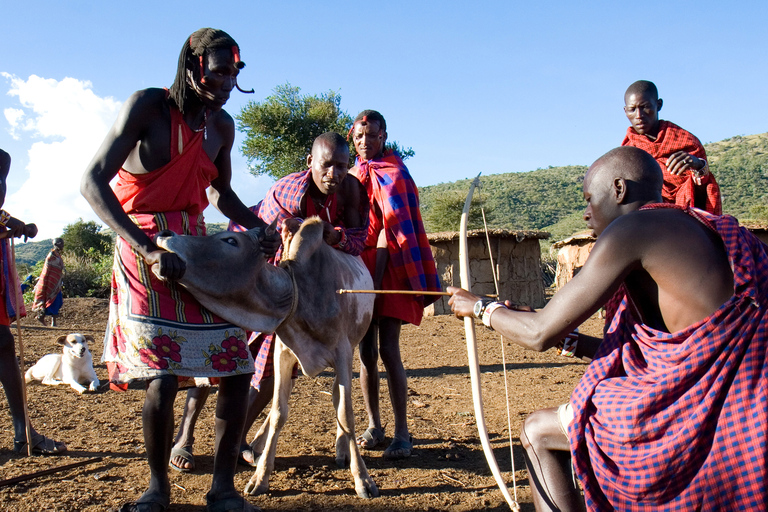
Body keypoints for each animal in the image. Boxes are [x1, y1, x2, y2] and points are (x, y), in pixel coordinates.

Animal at [155, 218, 378, 498]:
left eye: (231, 240)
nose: (165, 233)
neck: (300, 292)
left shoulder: (343, 354)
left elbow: (346, 414)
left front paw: (363, 479)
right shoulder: (283, 354)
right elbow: (278, 412)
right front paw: (260, 477)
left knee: (338, 399)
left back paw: (341, 450)